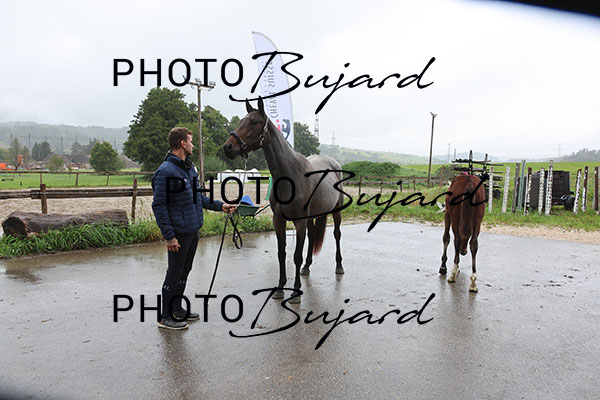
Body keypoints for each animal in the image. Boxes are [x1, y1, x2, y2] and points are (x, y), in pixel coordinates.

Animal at [223, 98, 345, 303]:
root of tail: (333, 162)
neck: (290, 176)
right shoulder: (278, 220)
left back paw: (339, 267)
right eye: (241, 120)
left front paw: (295, 291)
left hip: (336, 211)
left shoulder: (299, 222)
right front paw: (280, 288)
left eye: (253, 122)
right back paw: (306, 268)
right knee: (313, 236)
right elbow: (282, 254)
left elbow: (295, 256)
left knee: (337, 234)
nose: (228, 147)